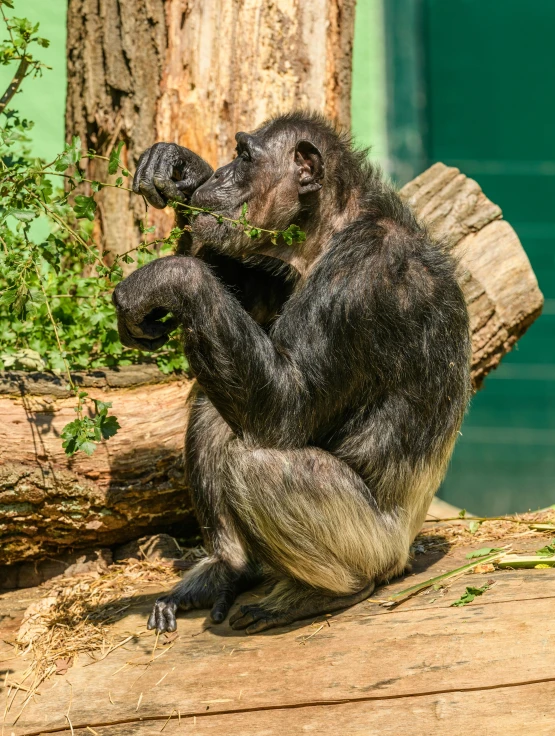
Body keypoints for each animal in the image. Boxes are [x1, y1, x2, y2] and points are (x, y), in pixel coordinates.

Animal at [114, 109, 474, 632]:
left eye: (245, 157)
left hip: (371, 544)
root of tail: (406, 550)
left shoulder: (358, 279)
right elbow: (240, 298)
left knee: (258, 463)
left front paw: (167, 277)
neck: (329, 228)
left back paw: (325, 593)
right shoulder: (276, 273)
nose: (219, 176)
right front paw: (179, 168)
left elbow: (288, 404)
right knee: (213, 407)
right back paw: (229, 569)